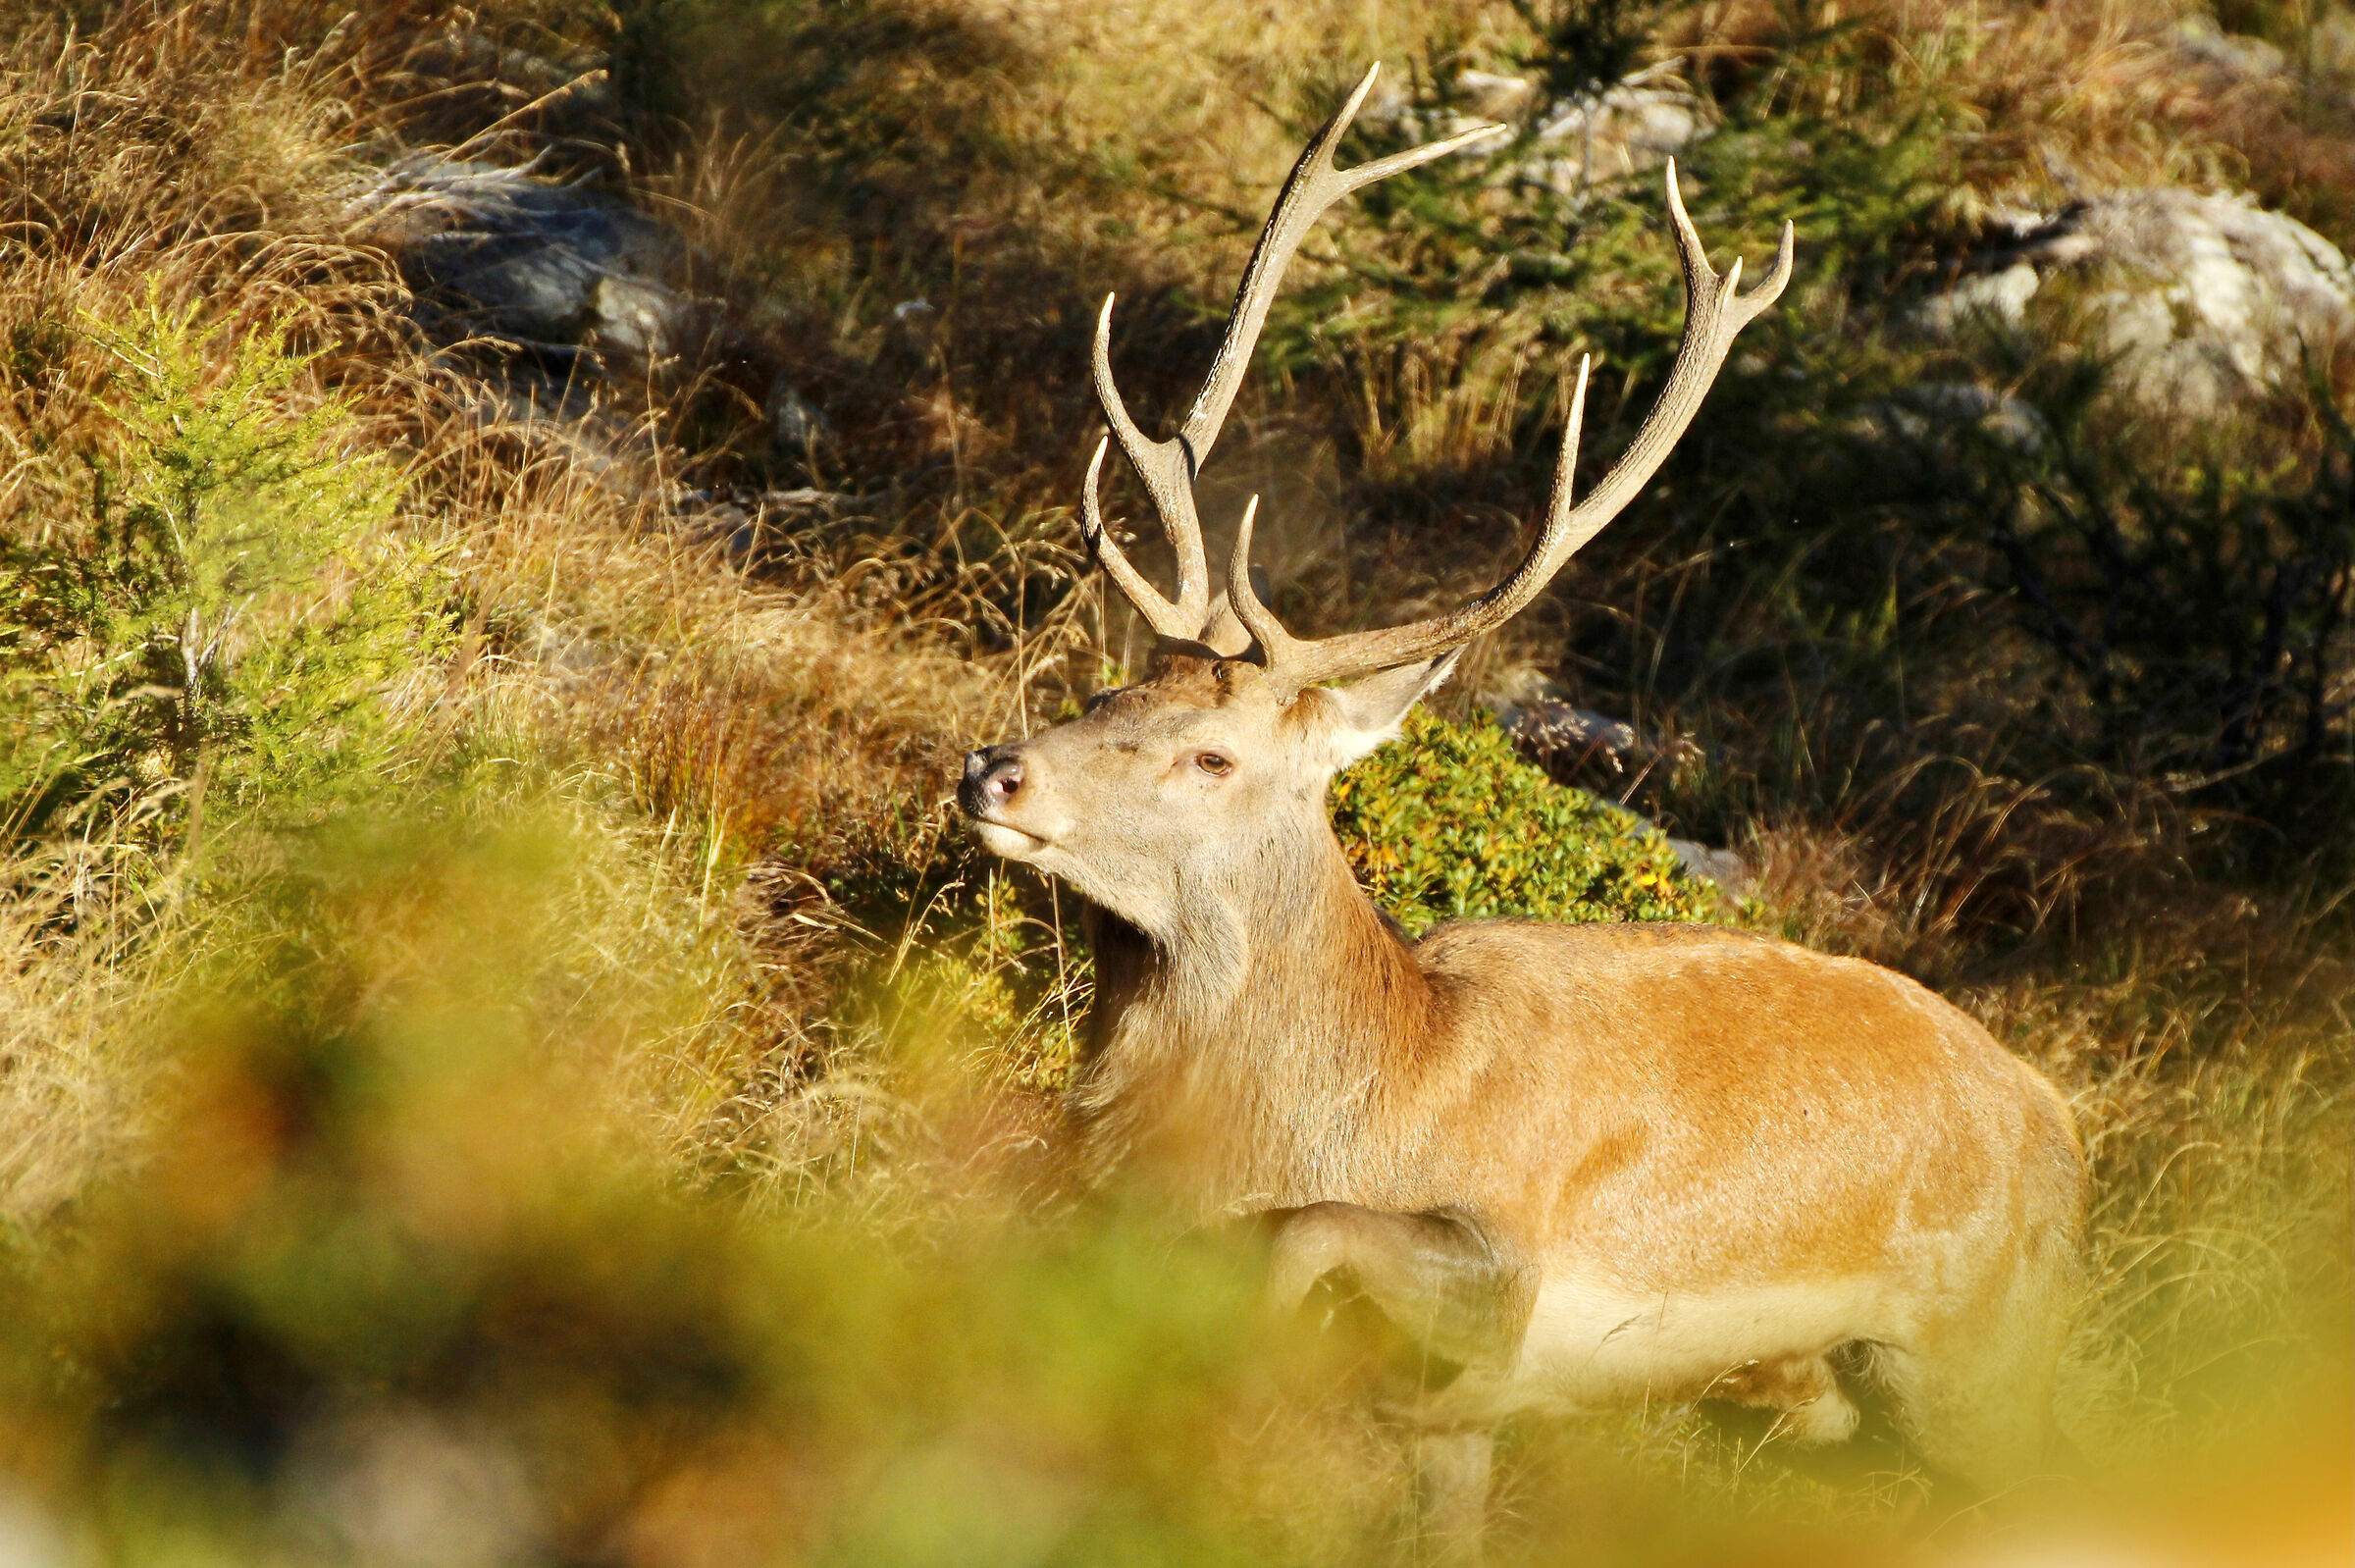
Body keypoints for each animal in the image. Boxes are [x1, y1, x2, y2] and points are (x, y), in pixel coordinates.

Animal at [955, 65, 2086, 1561]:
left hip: (1980, 1355)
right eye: (1104, 685)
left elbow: (1318, 1239)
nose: (996, 771)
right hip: (1846, 1403)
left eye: (1211, 756)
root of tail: (2072, 1135)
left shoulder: (1506, 1264)